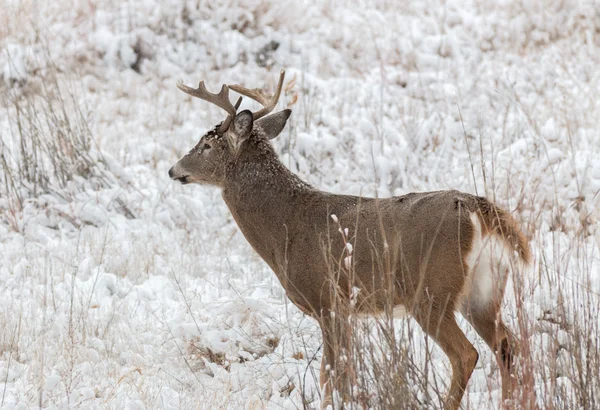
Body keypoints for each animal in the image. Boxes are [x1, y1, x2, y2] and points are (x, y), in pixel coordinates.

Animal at [169, 71, 528, 410]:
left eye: (206, 145)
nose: (174, 170)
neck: (283, 228)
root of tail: (477, 208)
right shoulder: (345, 310)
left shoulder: (327, 300)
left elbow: (332, 374)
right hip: (483, 289)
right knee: (509, 346)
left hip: (430, 290)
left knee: (466, 354)